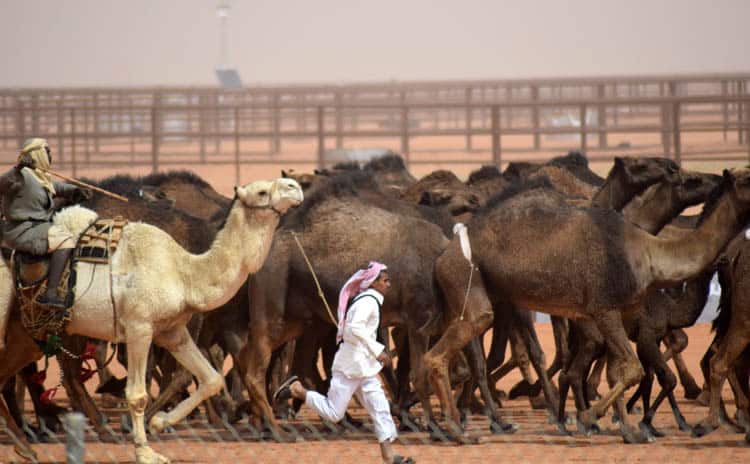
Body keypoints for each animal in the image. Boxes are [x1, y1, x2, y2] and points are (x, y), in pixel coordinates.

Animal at [1, 176, 306, 462]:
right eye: (262, 192)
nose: (294, 187)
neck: (184, 273)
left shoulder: (173, 332)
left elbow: (209, 379)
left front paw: (160, 422)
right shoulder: (139, 327)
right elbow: (138, 394)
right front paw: (145, 451)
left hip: (29, 333)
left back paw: (28, 447)